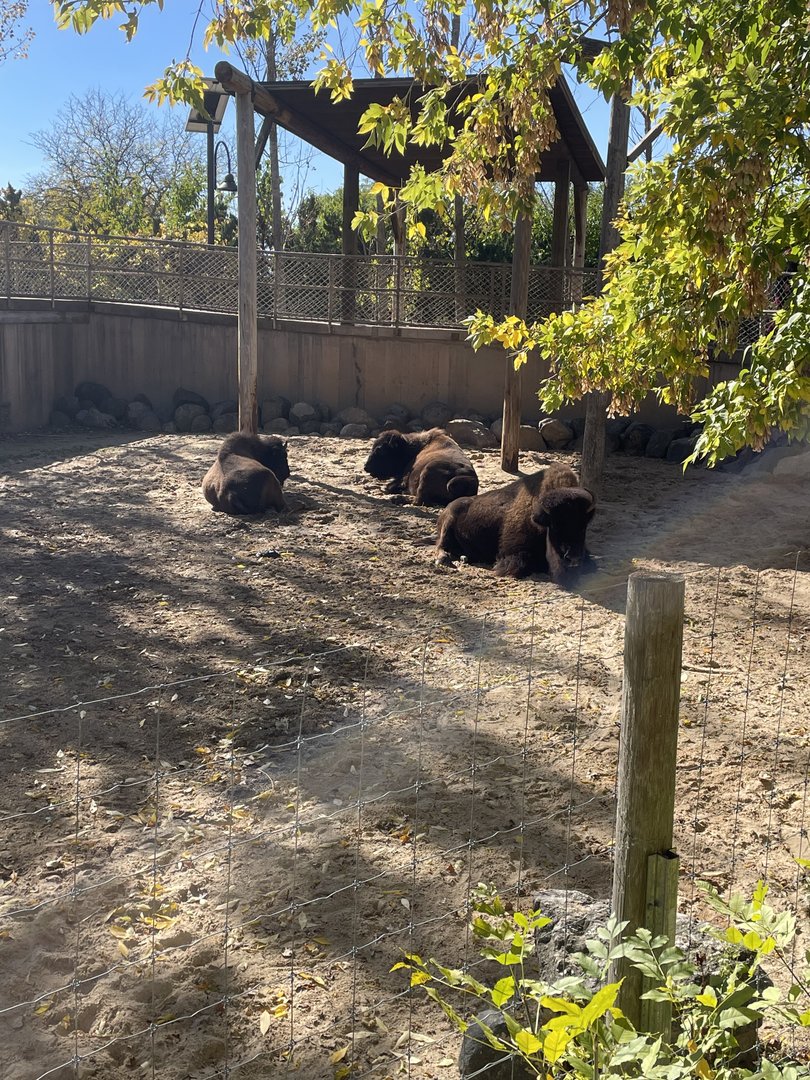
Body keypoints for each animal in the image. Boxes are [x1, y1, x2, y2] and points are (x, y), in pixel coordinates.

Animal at [434, 464, 595, 583]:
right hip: (448, 522)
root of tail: (447, 507)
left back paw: (464, 557)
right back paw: (444, 559)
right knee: (441, 546)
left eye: (583, 526)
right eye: (555, 526)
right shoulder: (513, 553)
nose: (573, 559)